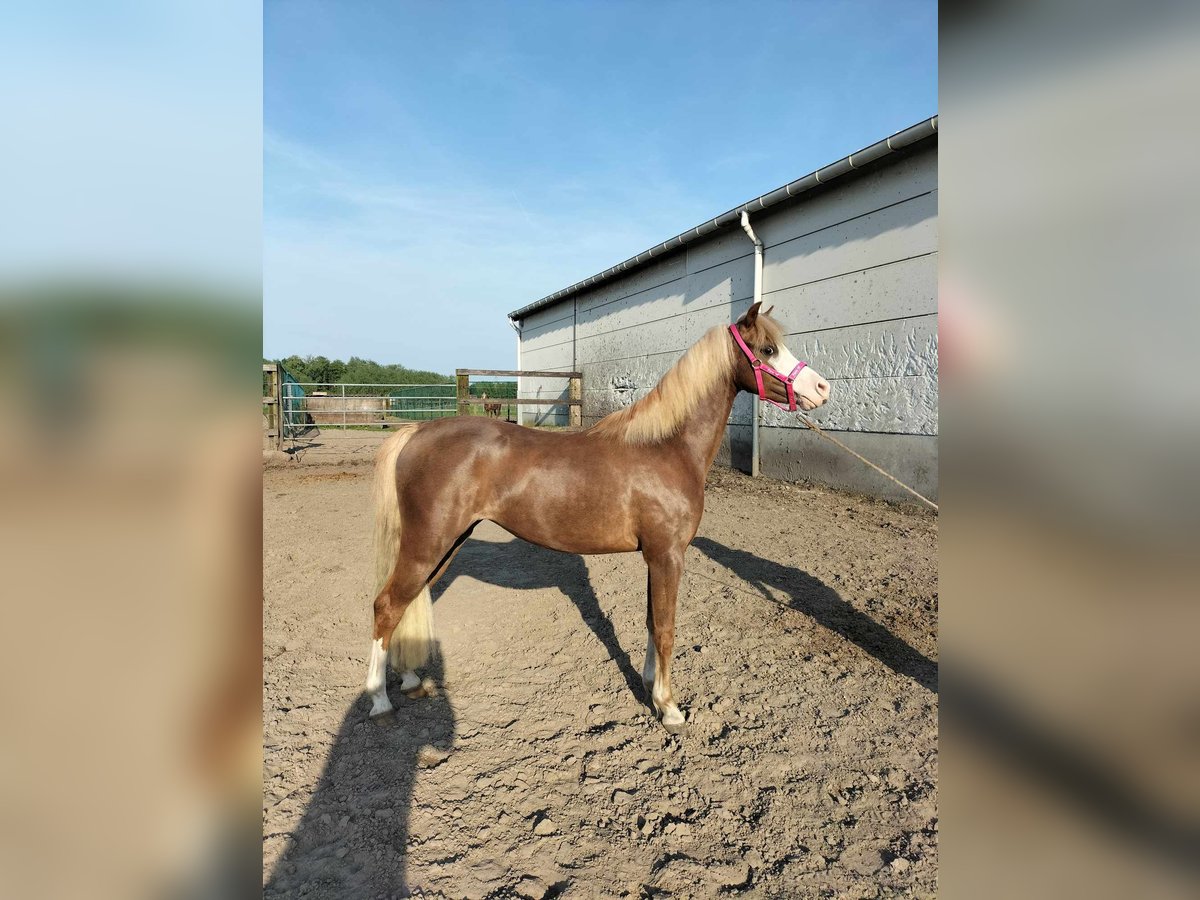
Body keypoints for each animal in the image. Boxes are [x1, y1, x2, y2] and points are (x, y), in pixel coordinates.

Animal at [364, 303, 830, 734]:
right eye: (767, 349)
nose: (821, 388)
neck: (666, 447)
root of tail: (418, 432)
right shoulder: (668, 556)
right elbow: (666, 628)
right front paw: (670, 708)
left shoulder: (655, 557)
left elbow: (650, 620)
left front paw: (650, 687)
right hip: (428, 545)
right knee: (387, 605)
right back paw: (380, 700)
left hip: (447, 546)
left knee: (408, 603)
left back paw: (409, 679)